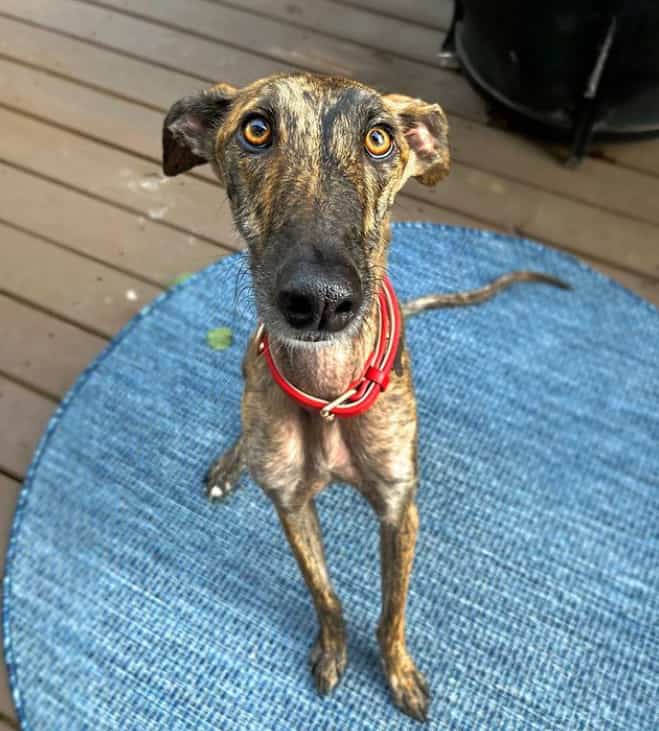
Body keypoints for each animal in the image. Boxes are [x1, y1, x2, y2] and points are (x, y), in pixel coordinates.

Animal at [161, 71, 568, 724]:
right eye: (256, 129)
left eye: (379, 139)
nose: (319, 301)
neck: (327, 391)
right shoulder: (292, 505)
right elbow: (325, 594)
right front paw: (333, 650)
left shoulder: (400, 511)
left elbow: (391, 612)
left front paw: (398, 673)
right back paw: (231, 462)